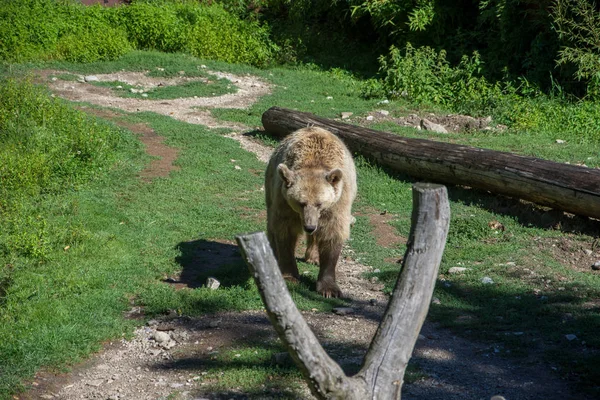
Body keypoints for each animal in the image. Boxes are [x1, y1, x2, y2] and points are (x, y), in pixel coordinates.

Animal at [264, 126, 356, 296]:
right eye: (301, 203)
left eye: (320, 203)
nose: (309, 227)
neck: (313, 163)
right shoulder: (284, 201)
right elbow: (285, 231)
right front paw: (289, 276)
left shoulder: (337, 202)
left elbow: (332, 233)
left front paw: (329, 288)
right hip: (271, 181)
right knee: (271, 222)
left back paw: (313, 256)